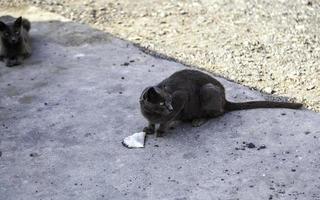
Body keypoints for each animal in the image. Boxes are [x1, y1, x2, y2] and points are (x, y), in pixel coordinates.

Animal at [140, 69, 302, 137]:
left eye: (170, 101)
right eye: (162, 103)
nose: (170, 108)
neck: (151, 113)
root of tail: (224, 99)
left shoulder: (181, 97)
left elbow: (167, 120)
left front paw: (161, 130)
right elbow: (151, 122)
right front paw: (150, 128)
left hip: (208, 90)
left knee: (218, 113)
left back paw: (198, 120)